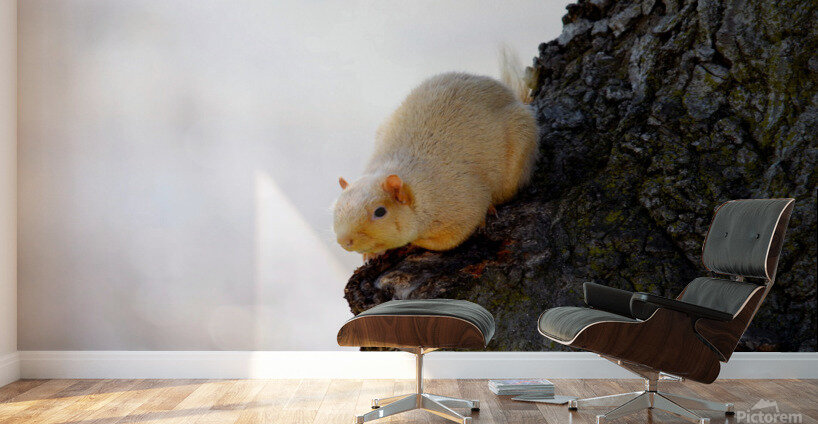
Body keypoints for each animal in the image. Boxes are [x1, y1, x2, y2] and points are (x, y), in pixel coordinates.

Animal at [333, 49, 539, 260]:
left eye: (380, 212)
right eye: (336, 208)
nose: (344, 241)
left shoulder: (461, 205)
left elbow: (449, 239)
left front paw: (412, 243)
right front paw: (370, 254)